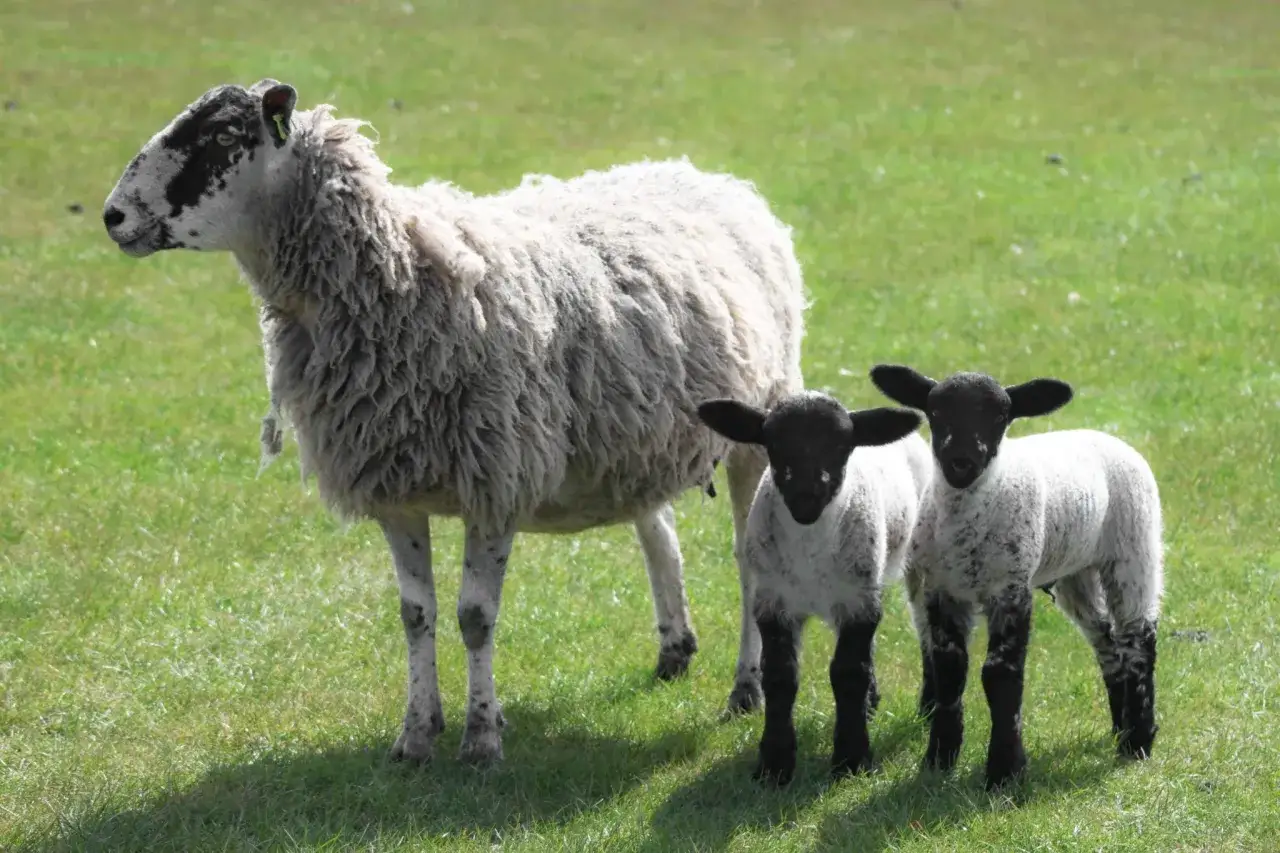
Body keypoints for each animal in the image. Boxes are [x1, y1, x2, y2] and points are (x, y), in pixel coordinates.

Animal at [100, 78, 808, 766]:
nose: (112, 215)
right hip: (633, 439)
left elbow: (474, 617)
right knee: (657, 530)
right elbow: (416, 614)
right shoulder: (393, 486)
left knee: (750, 560)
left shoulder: (495, 480)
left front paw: (481, 738)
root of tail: (705, 175)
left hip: (759, 423)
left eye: (223, 136)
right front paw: (416, 735)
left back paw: (745, 689)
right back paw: (674, 648)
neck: (400, 278)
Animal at [696, 390, 931, 785]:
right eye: (773, 443)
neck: (809, 547)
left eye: (841, 444)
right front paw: (774, 764)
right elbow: (780, 675)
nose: (806, 495)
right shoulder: (773, 601)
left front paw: (852, 758)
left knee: (927, 628)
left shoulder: (858, 603)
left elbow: (848, 673)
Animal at [868, 363, 1164, 790]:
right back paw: (1119, 727)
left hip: (1134, 550)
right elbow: (949, 669)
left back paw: (1137, 741)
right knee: (1107, 641)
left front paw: (1005, 770)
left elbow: (1000, 674)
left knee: (1138, 640)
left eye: (999, 416)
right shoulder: (942, 590)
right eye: (935, 411)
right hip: (1075, 572)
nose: (961, 462)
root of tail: (1104, 435)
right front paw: (939, 759)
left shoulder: (1010, 589)